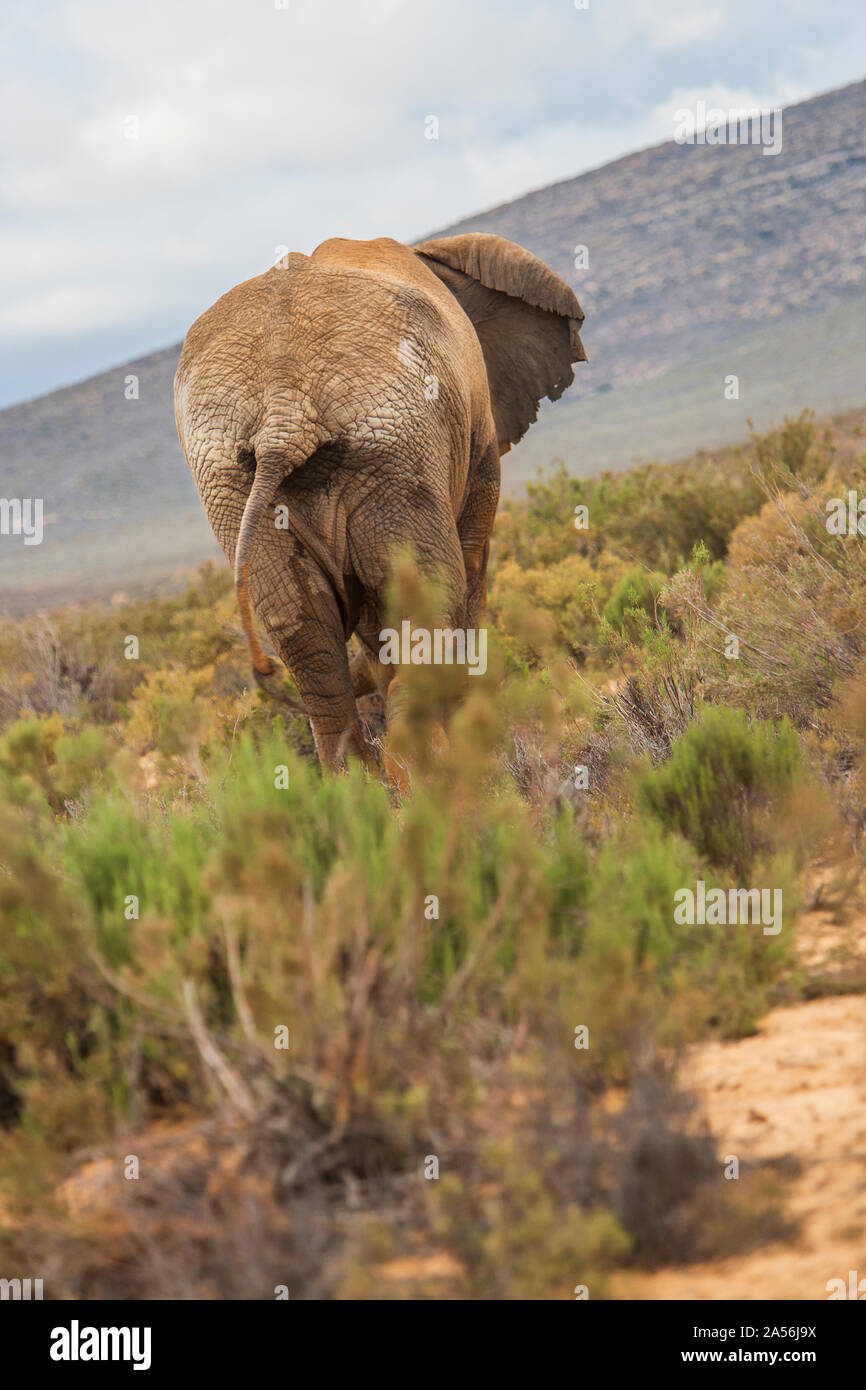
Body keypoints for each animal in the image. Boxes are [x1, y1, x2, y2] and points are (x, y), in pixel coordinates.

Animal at [173, 230, 586, 772]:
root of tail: (285, 407)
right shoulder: (476, 443)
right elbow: (469, 570)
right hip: (394, 450)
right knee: (426, 608)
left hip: (236, 482)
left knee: (309, 644)